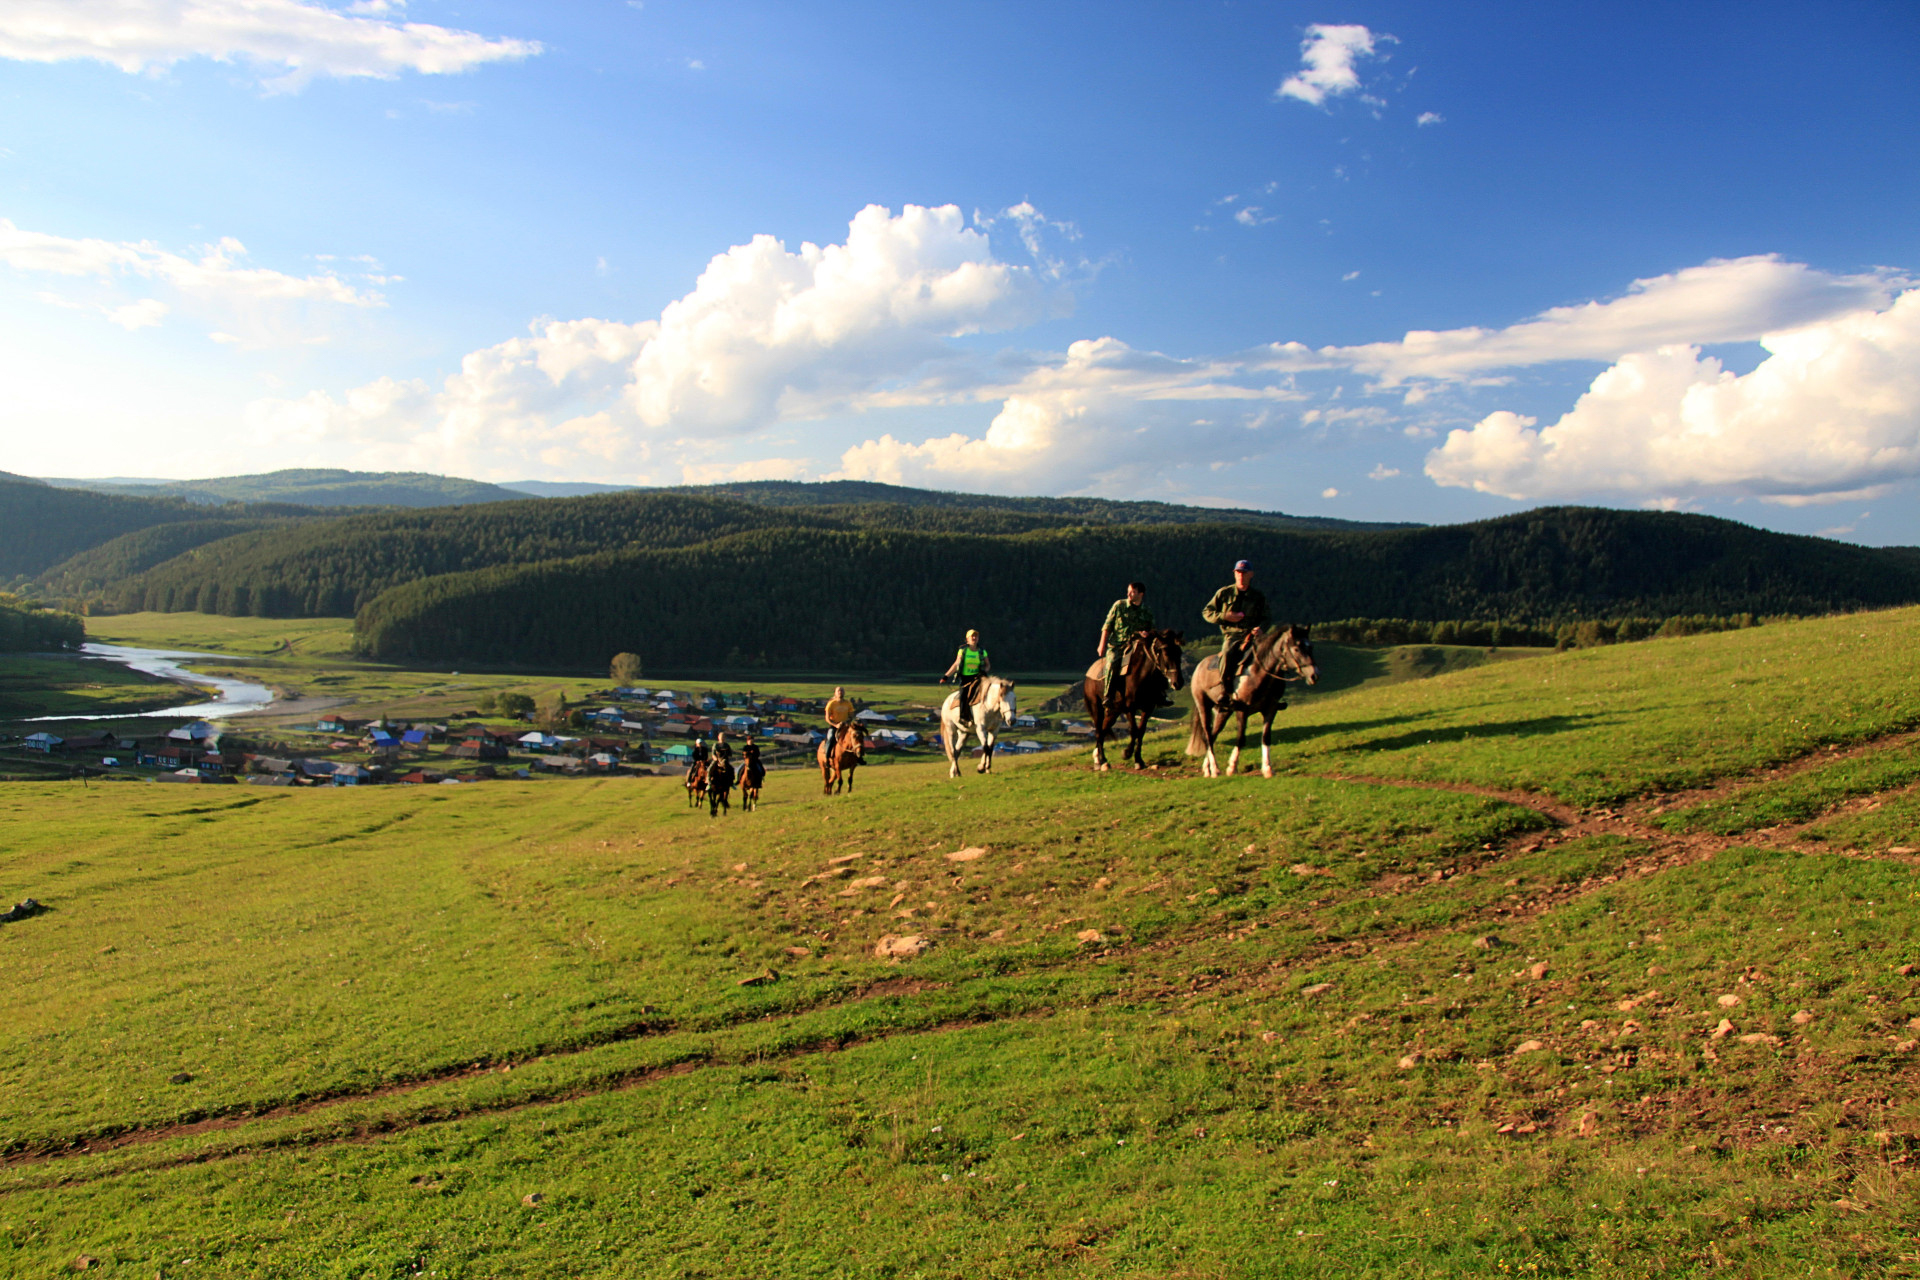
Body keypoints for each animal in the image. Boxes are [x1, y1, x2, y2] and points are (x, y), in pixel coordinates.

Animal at [1082, 629, 1182, 771]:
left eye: (1179, 652)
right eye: (1166, 653)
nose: (1178, 683)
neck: (1141, 675)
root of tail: (1088, 676)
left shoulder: (1148, 708)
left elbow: (1141, 732)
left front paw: (1139, 760)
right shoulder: (1129, 708)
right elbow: (1134, 730)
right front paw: (1126, 753)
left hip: (1113, 711)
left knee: (1104, 729)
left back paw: (1101, 760)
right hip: (1096, 708)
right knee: (1098, 731)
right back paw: (1100, 761)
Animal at [1182, 621, 1320, 775]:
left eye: (1311, 647)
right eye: (1296, 648)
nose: (1314, 675)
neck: (1259, 673)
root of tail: (1199, 666)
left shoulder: (1271, 709)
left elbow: (1266, 737)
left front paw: (1267, 768)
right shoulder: (1242, 710)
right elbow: (1241, 739)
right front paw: (1232, 767)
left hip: (1223, 711)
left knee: (1212, 735)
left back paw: (1207, 769)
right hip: (1203, 706)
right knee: (1207, 736)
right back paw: (1215, 769)